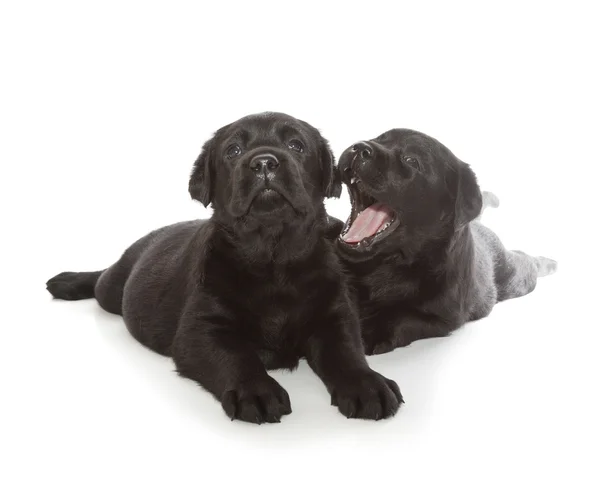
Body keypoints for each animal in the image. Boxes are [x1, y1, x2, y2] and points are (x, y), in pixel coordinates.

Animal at [48, 113, 404, 426]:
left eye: (296, 145)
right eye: (233, 151)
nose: (264, 163)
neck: (274, 257)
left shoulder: (334, 317)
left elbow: (347, 353)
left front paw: (368, 385)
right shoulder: (201, 330)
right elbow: (236, 357)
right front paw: (256, 392)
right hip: (113, 289)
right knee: (101, 280)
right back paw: (66, 281)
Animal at [336, 129, 556, 356]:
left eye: (411, 160)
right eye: (378, 139)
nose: (360, 147)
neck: (387, 264)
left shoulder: (444, 317)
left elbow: (402, 316)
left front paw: (372, 330)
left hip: (513, 276)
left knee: (526, 261)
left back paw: (548, 263)